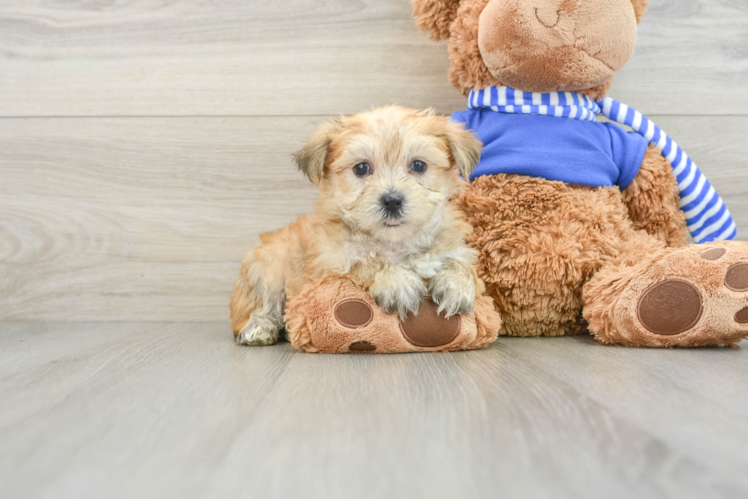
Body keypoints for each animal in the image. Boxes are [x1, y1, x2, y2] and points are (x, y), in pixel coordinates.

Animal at [231, 105, 482, 346]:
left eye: (419, 165)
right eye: (361, 168)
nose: (392, 200)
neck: (395, 241)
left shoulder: (452, 246)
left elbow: (458, 261)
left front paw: (457, 285)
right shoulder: (331, 262)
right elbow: (367, 259)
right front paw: (397, 281)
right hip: (267, 267)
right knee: (262, 305)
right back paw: (260, 328)